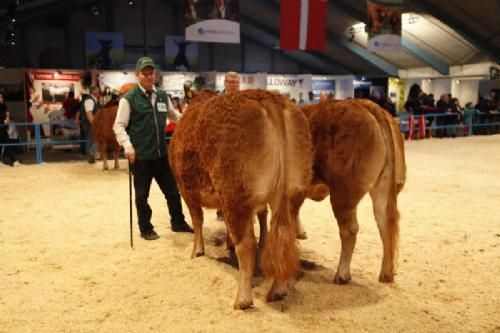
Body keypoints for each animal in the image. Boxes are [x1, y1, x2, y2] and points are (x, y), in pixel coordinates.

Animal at [170, 89, 314, 308]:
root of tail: (267, 96)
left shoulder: (185, 189)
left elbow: (197, 221)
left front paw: (197, 251)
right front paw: (227, 243)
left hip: (235, 194)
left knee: (247, 245)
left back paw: (242, 299)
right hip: (291, 194)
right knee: (283, 237)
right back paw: (278, 290)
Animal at [300, 98, 406, 282]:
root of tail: (363, 102)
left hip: (343, 193)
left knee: (350, 230)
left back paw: (341, 274)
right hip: (384, 188)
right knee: (385, 224)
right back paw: (386, 273)